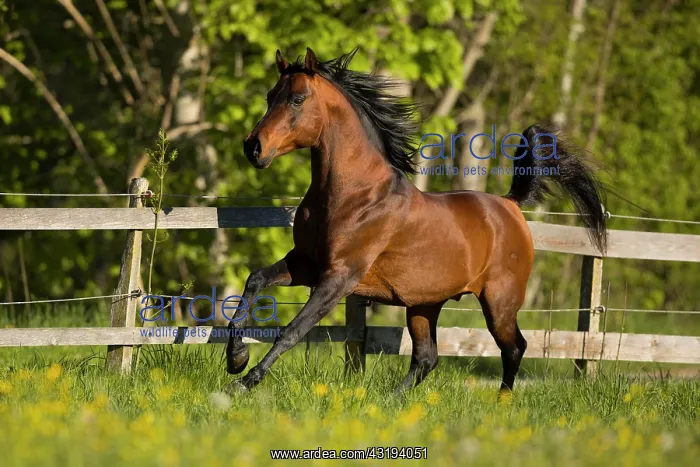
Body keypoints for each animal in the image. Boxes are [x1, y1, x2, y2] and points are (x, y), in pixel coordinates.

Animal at [225, 47, 607, 395]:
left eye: (297, 99)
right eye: (270, 97)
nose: (253, 148)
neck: (352, 195)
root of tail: (510, 206)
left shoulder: (339, 276)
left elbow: (292, 329)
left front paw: (244, 383)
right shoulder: (305, 264)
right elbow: (255, 281)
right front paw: (236, 359)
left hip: (499, 301)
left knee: (514, 348)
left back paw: (502, 402)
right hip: (424, 305)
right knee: (427, 357)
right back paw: (392, 401)